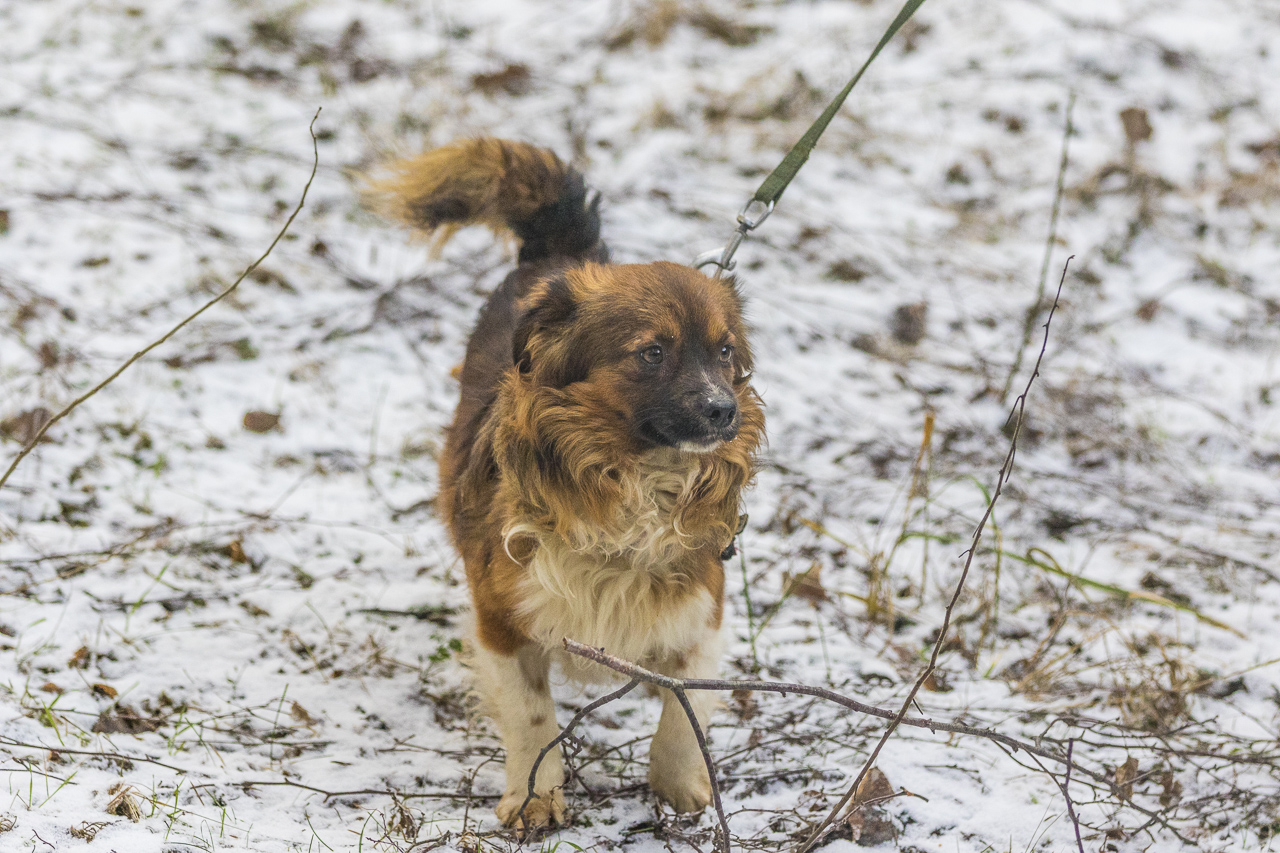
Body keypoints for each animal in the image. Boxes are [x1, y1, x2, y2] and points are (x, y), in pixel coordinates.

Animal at [368, 138, 764, 828]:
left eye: (723, 352)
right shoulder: (504, 618)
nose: (724, 412)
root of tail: (564, 255)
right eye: (652, 353)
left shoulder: (701, 612)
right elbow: (532, 717)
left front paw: (680, 788)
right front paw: (535, 796)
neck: (635, 480)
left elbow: (682, 717)